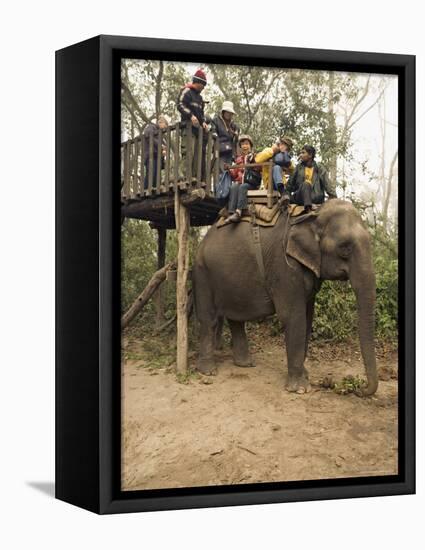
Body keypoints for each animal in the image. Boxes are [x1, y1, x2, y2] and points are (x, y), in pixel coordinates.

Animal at [192, 201, 378, 398]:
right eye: (344, 248)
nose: (358, 389)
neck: (311, 216)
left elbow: (307, 318)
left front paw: (305, 376)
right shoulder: (285, 266)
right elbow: (293, 317)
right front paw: (300, 389)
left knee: (236, 318)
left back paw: (245, 364)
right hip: (202, 272)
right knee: (209, 320)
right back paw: (208, 371)